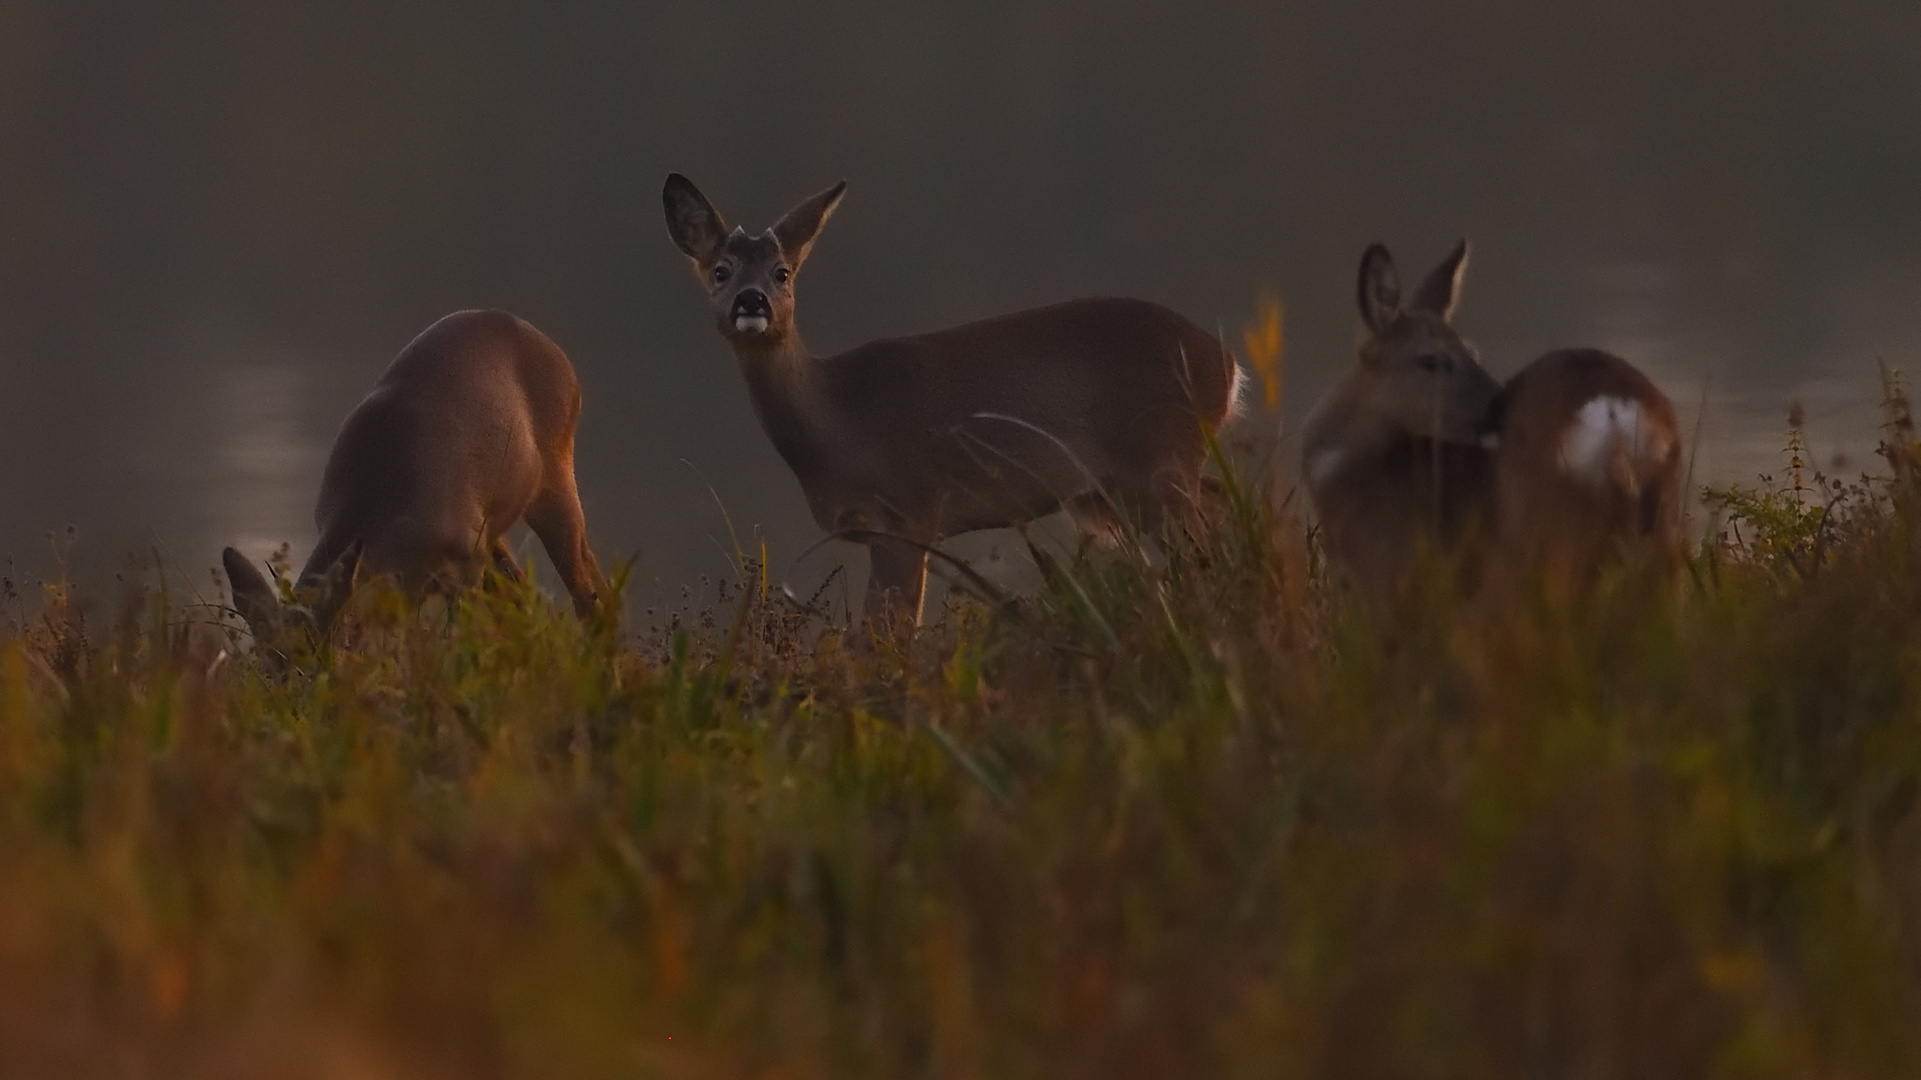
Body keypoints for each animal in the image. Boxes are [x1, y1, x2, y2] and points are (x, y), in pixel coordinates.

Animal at [220, 307, 603, 641]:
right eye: (267, 664)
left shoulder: (467, 561)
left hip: (554, 473)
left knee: (585, 582)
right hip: (492, 525)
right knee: (525, 590)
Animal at [660, 171, 1244, 626]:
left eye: (782, 272)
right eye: (720, 270)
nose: (751, 301)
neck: (834, 421)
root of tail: (1227, 363)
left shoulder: (907, 512)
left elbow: (884, 638)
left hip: (1158, 464)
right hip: (1116, 492)